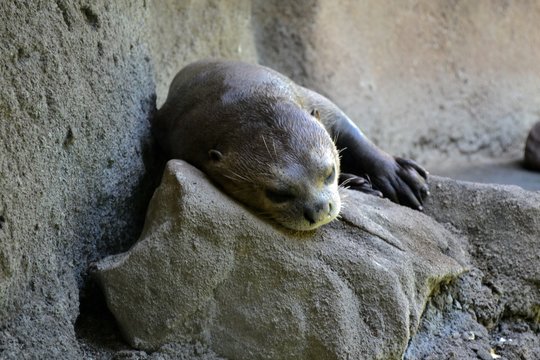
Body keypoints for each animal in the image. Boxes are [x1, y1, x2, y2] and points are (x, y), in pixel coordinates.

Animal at [154, 59, 428, 231]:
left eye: (329, 173)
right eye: (278, 194)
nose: (320, 210)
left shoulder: (314, 100)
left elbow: (355, 136)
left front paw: (398, 176)